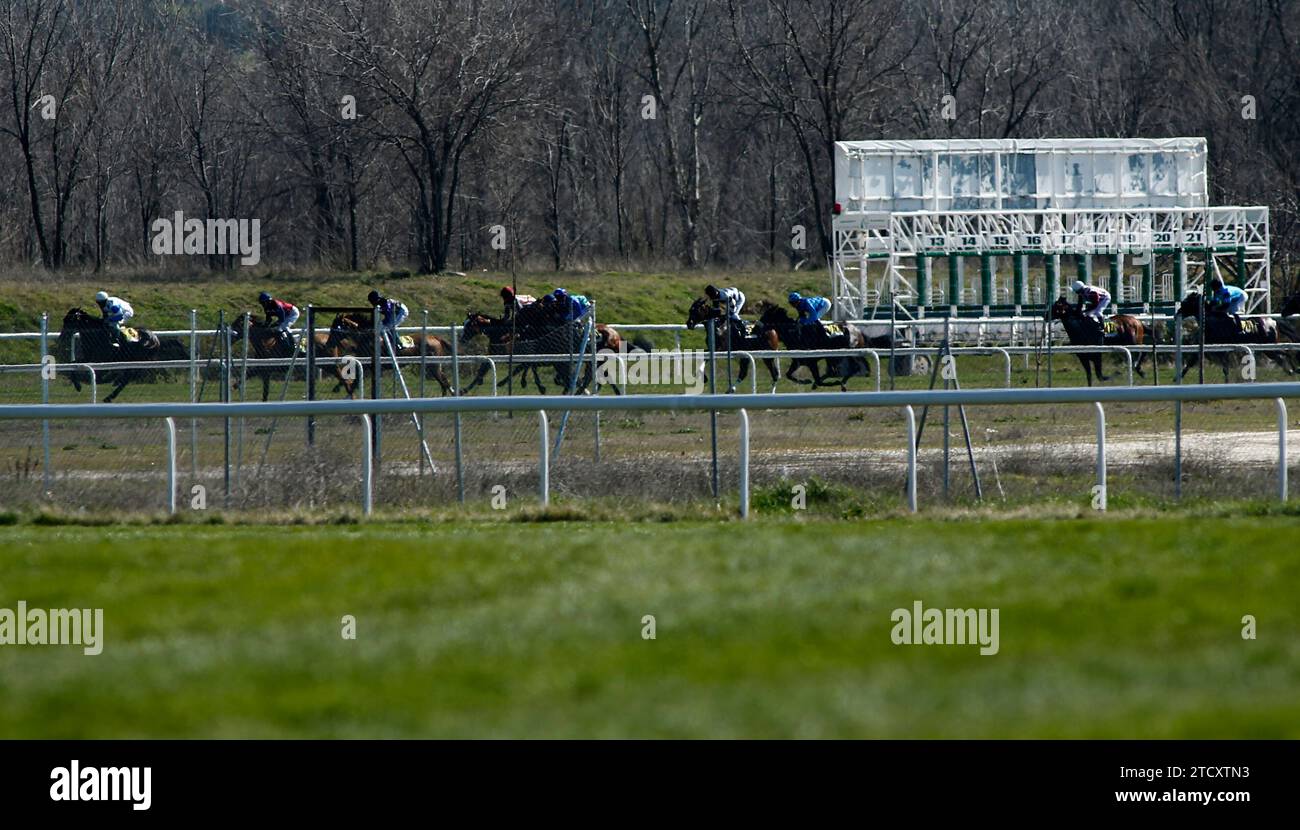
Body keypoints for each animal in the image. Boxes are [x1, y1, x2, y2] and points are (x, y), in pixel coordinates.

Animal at [54, 310, 187, 405]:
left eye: (69, 321)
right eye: (64, 320)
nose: (61, 338)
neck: (96, 334)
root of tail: (155, 338)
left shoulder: (100, 358)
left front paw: (79, 385)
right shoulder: (89, 357)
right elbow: (73, 363)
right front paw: (78, 385)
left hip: (138, 359)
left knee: (128, 377)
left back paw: (110, 395)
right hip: (132, 359)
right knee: (126, 375)